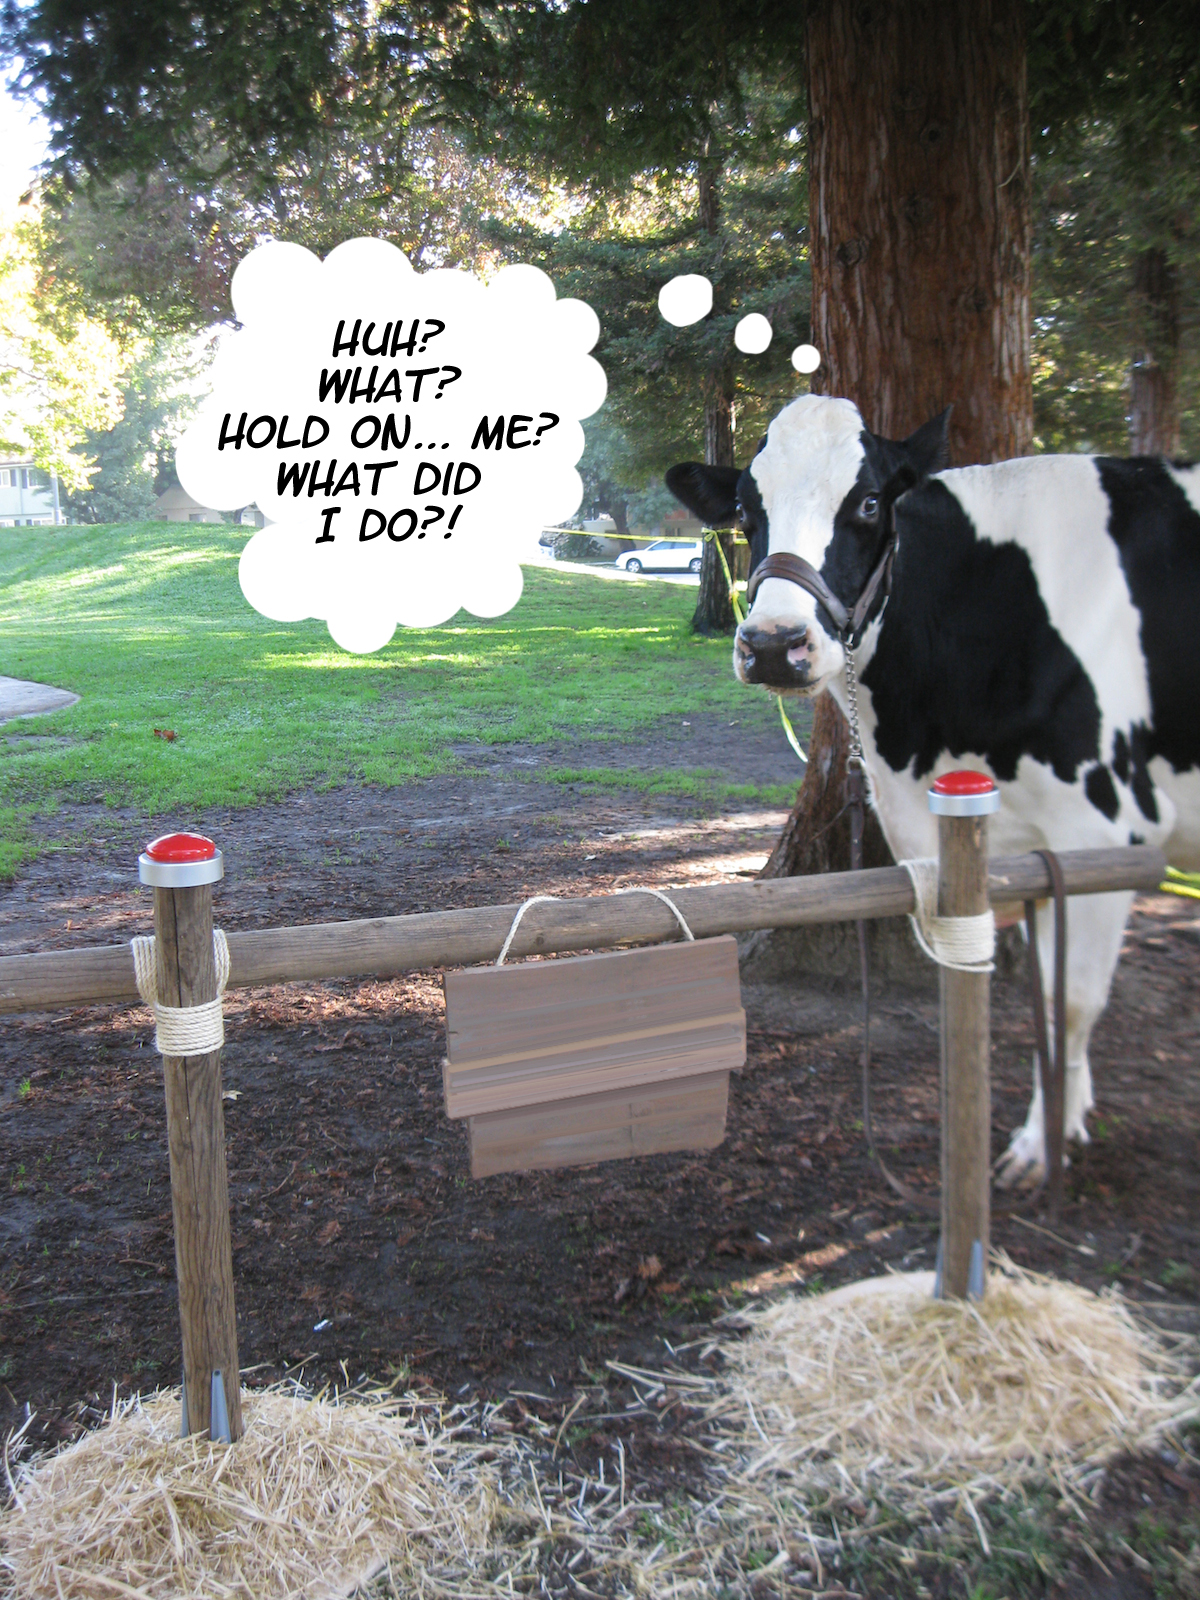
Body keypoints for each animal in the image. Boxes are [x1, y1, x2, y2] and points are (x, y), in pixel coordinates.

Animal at [667, 394, 1200, 1184]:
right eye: (745, 507)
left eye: (868, 502)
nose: (771, 645)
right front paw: (1066, 1116)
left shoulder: (1102, 828)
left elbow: (1068, 1000)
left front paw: (1041, 1145)